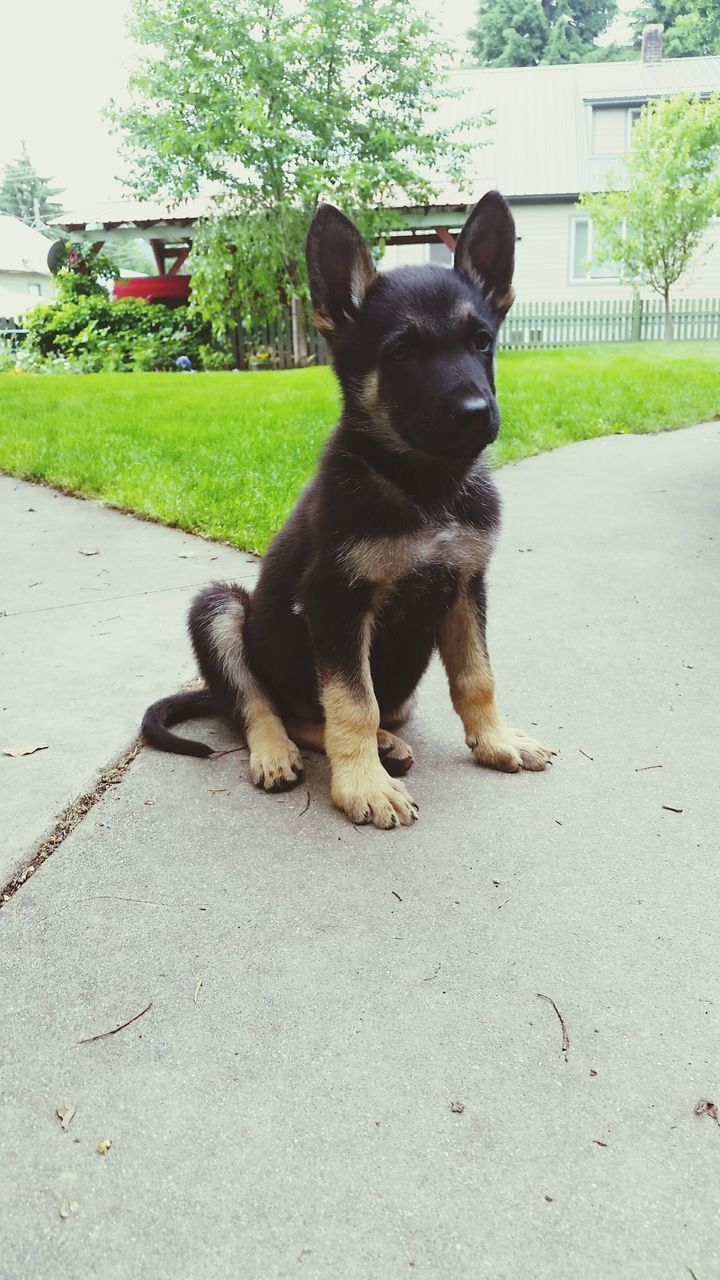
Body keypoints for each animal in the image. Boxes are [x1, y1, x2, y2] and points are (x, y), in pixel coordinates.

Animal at [142, 189, 550, 829]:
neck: (425, 487)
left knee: (339, 712)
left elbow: (476, 676)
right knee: (263, 705)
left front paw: (496, 740)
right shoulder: (335, 602)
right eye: (402, 352)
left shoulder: (465, 585)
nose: (476, 413)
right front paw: (363, 785)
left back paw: (386, 745)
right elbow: (352, 702)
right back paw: (281, 751)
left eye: (481, 341)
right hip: (221, 608)